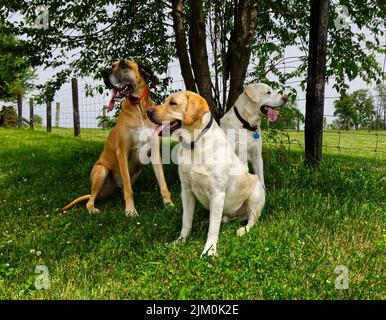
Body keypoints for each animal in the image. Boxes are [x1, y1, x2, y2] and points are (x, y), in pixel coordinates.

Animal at [148, 91, 266, 256]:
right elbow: (186, 221)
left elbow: (213, 229)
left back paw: (243, 230)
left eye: (173, 103)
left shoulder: (217, 193)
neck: (194, 144)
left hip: (256, 194)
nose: (148, 111)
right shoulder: (186, 190)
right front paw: (180, 241)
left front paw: (209, 250)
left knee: (252, 220)